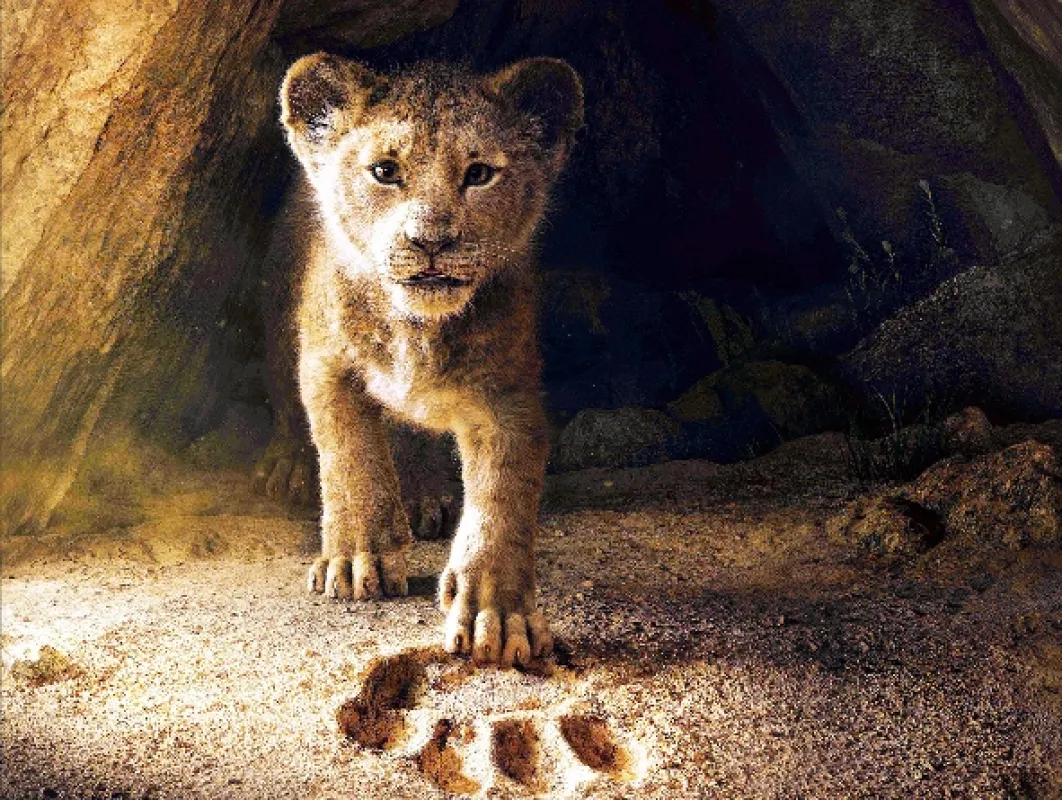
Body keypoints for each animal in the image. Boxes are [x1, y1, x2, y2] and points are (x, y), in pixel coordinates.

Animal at [261, 53, 583, 667]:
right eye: (384, 171)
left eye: (479, 174)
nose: (430, 240)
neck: (417, 328)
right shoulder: (326, 362)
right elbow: (350, 456)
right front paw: (357, 559)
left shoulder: (508, 395)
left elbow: (502, 498)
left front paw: (496, 614)